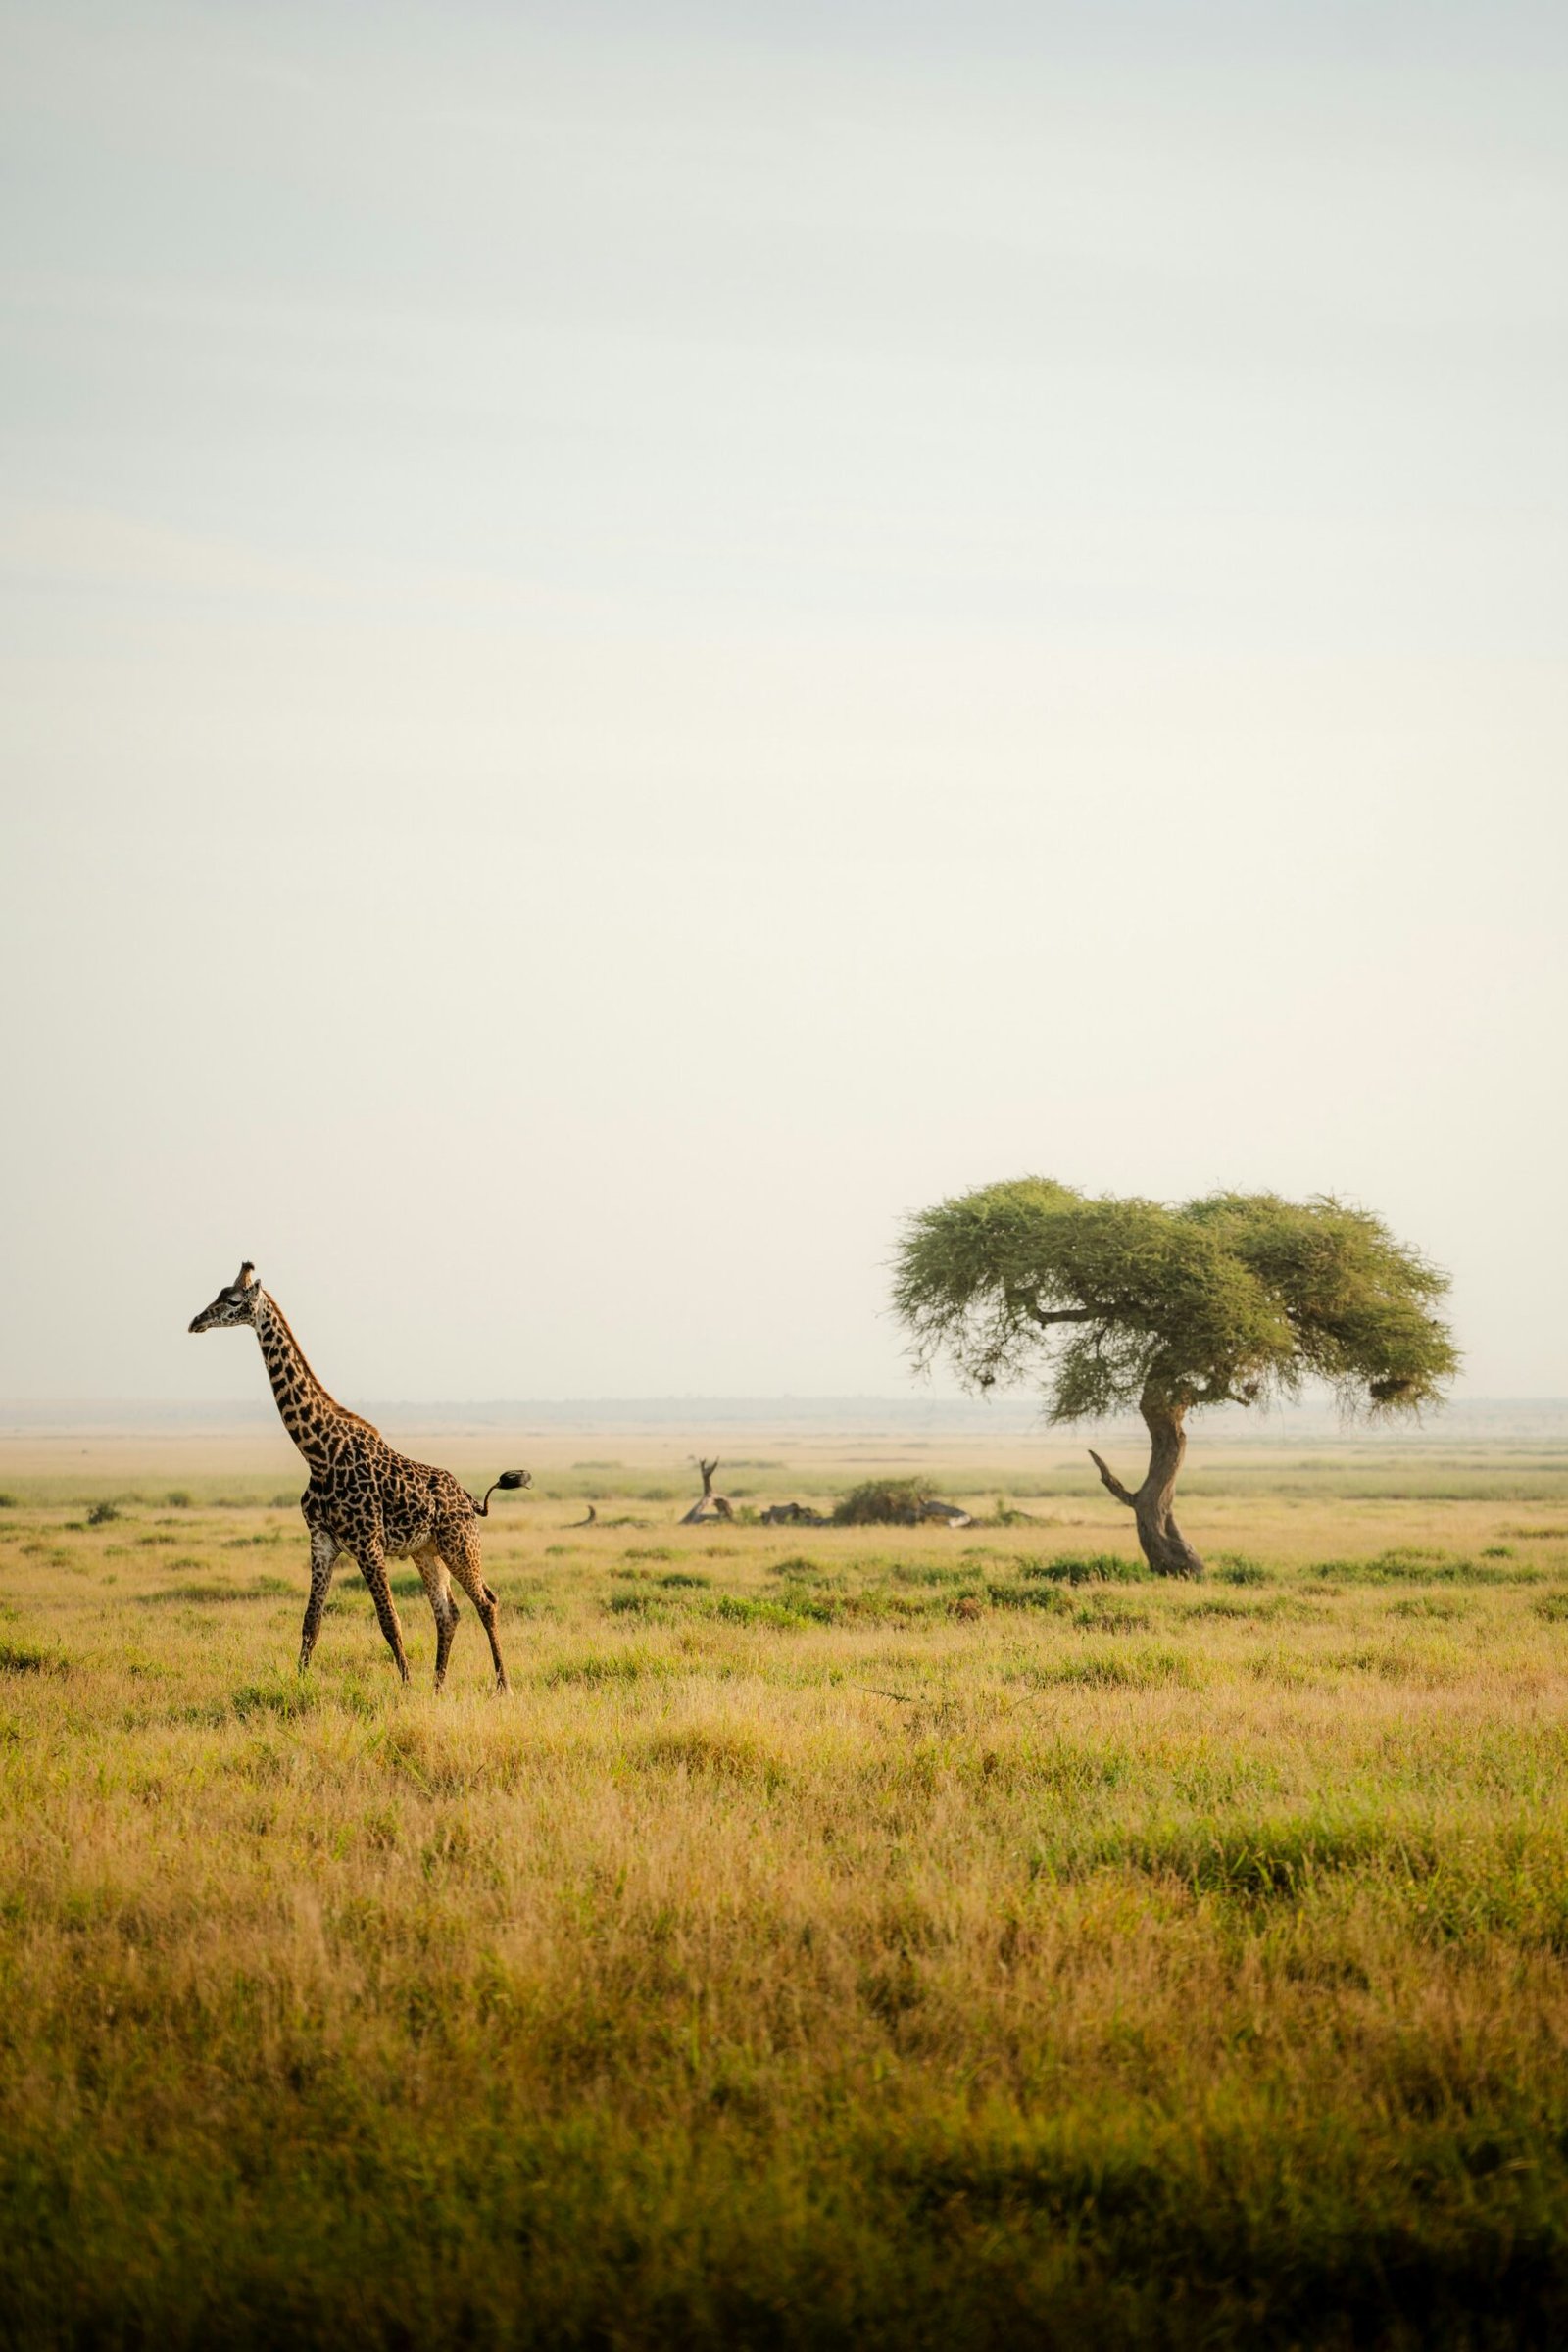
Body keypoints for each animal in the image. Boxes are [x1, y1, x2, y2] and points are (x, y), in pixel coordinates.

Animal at [188, 1263, 528, 1690]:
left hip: (460, 1544)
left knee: (487, 1601)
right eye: (217, 1293)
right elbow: (310, 1622)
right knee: (447, 1612)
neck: (318, 1453)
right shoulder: (321, 1542)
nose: (196, 1322)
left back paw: (502, 1686)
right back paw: (438, 1687)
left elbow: (389, 1621)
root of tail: (468, 1498)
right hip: (426, 1551)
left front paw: (405, 1687)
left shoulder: (368, 1544)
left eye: (233, 1300)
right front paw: (300, 1683)